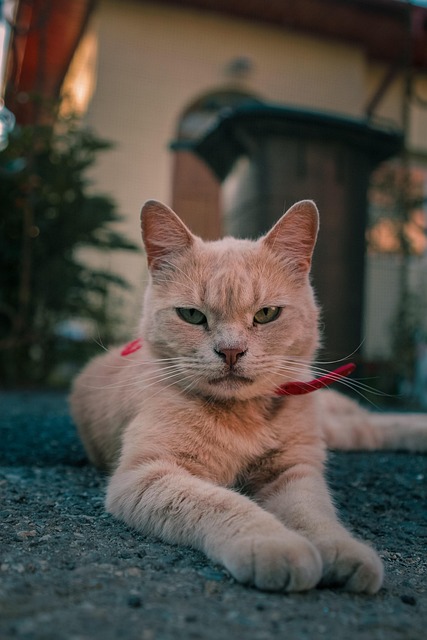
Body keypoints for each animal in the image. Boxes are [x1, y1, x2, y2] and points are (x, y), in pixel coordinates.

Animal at [70, 200, 427, 596]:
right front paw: (275, 544)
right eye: (191, 315)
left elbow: (313, 511)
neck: (244, 418)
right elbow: (224, 504)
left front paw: (340, 547)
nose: (230, 351)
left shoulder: (294, 469)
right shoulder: (149, 474)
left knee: (371, 422)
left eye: (266, 314)